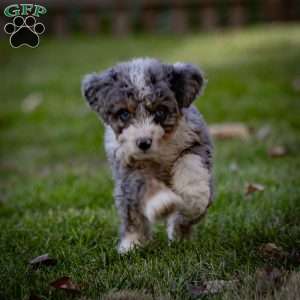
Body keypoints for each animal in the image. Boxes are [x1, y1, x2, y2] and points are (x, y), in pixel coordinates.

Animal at [82, 58, 213, 253]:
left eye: (159, 111)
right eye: (124, 114)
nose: (143, 143)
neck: (159, 152)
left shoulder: (196, 141)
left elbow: (191, 164)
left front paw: (194, 196)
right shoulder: (127, 167)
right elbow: (142, 183)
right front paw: (162, 203)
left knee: (182, 220)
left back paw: (181, 236)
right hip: (124, 196)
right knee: (132, 218)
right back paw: (131, 244)